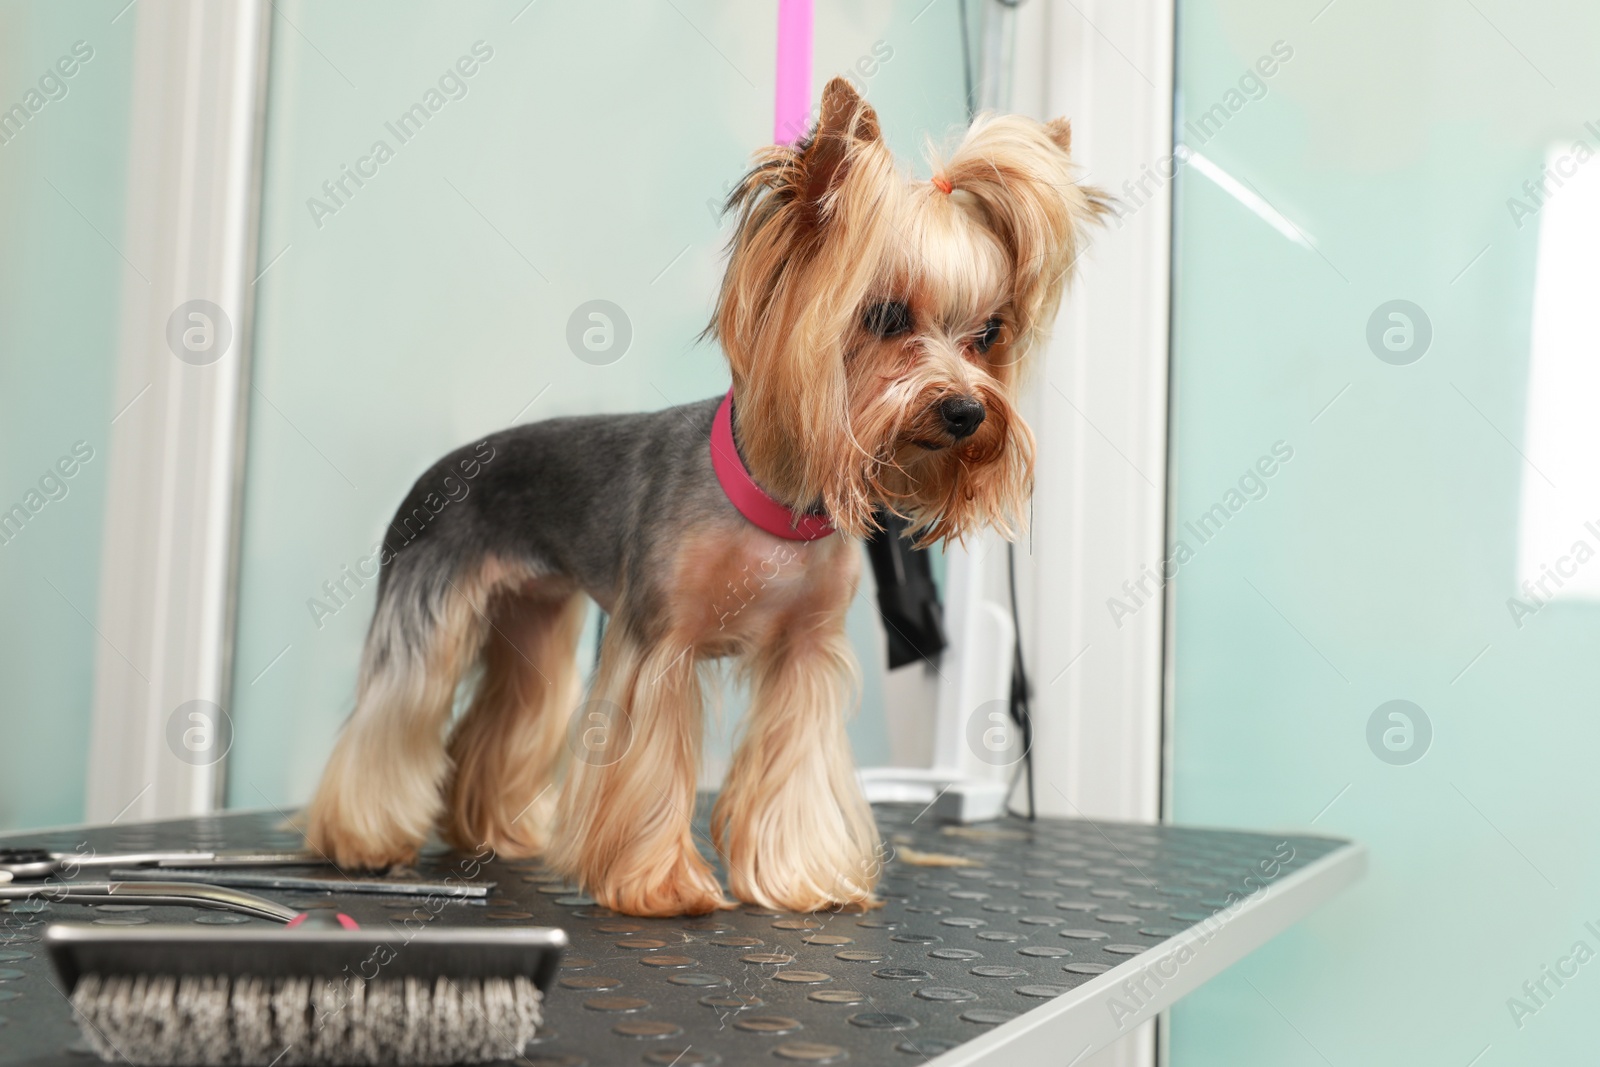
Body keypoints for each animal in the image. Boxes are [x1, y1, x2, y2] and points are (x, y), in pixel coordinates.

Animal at [300, 77, 1107, 921]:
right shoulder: (661, 645)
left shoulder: (805, 654)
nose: (966, 411)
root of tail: (439, 472)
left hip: (534, 617)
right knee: (396, 712)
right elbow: (652, 765)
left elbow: (794, 771)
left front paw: (799, 878)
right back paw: (359, 836)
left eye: (989, 333)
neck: (775, 510)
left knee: (497, 722)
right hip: (430, 602)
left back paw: (492, 828)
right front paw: (662, 884)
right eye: (887, 316)